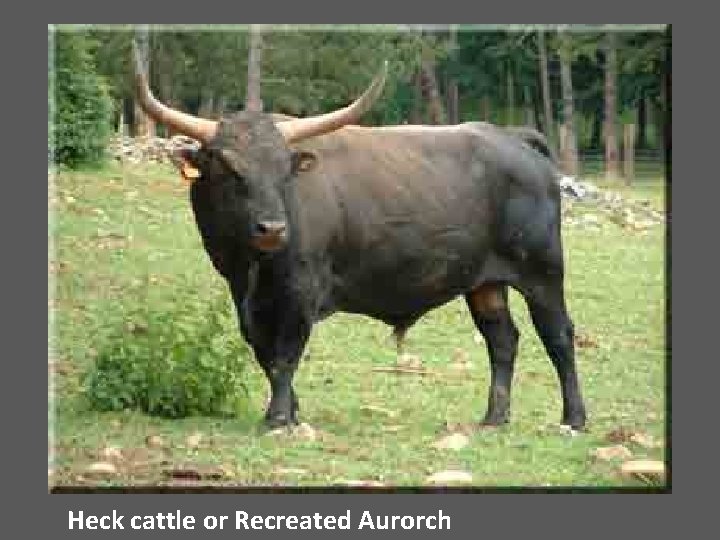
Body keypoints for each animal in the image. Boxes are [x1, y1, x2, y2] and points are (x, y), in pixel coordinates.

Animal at [132, 46, 587, 432]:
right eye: (227, 167)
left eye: (284, 168)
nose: (273, 229)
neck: (251, 266)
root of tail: (515, 140)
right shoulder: (242, 296)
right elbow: (264, 353)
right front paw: (290, 412)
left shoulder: (302, 291)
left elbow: (285, 355)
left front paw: (278, 419)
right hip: (484, 282)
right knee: (502, 339)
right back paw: (494, 417)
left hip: (543, 271)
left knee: (559, 336)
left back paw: (574, 419)